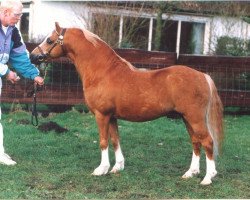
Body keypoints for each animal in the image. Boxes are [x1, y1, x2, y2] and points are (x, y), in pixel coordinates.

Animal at [30, 22, 224, 185]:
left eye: (50, 40)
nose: (32, 56)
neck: (103, 72)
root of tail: (202, 76)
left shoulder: (101, 115)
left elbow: (103, 141)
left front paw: (101, 169)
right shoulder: (112, 117)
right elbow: (115, 140)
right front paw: (117, 167)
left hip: (195, 118)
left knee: (207, 142)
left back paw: (208, 178)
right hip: (186, 118)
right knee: (196, 142)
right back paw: (191, 173)